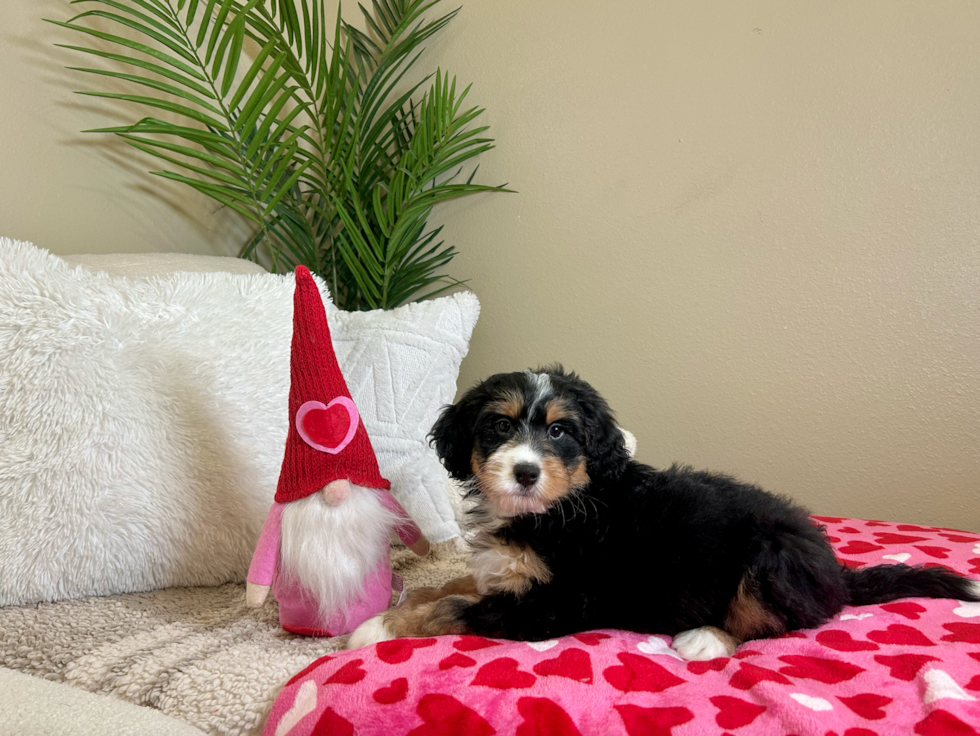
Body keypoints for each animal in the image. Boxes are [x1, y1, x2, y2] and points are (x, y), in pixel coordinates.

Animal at [350, 366, 980, 660]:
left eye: (560, 432)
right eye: (500, 426)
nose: (525, 472)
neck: (555, 509)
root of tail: (836, 570)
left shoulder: (561, 602)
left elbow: (458, 605)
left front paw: (373, 629)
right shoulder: (504, 575)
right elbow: (454, 583)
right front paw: (396, 605)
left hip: (771, 554)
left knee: (778, 622)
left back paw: (705, 638)